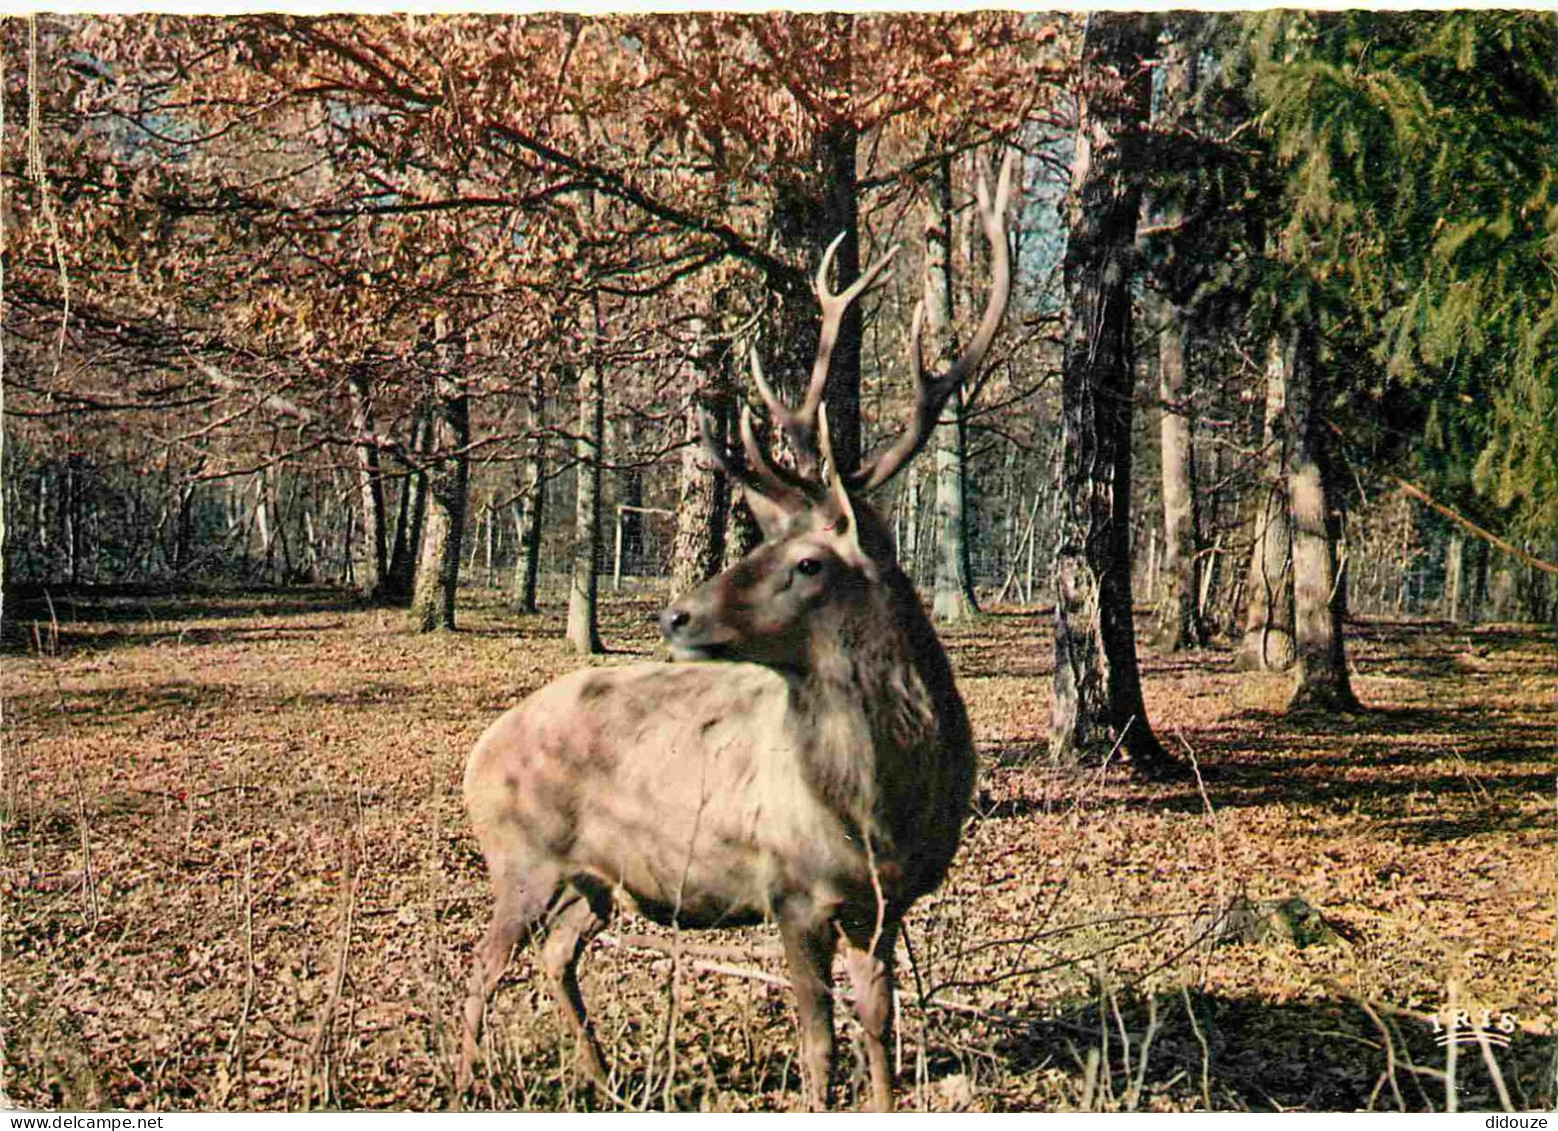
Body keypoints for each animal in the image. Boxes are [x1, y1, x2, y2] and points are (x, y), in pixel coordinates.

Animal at [454, 152, 1015, 1115]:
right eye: (759, 540)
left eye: (809, 561)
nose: (675, 613)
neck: (880, 810)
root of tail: (476, 754)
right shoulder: (790, 891)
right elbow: (819, 1044)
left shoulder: (889, 904)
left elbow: (879, 1034)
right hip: (518, 858)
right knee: (480, 970)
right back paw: (467, 1081)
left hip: (597, 879)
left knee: (558, 954)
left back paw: (603, 1079)